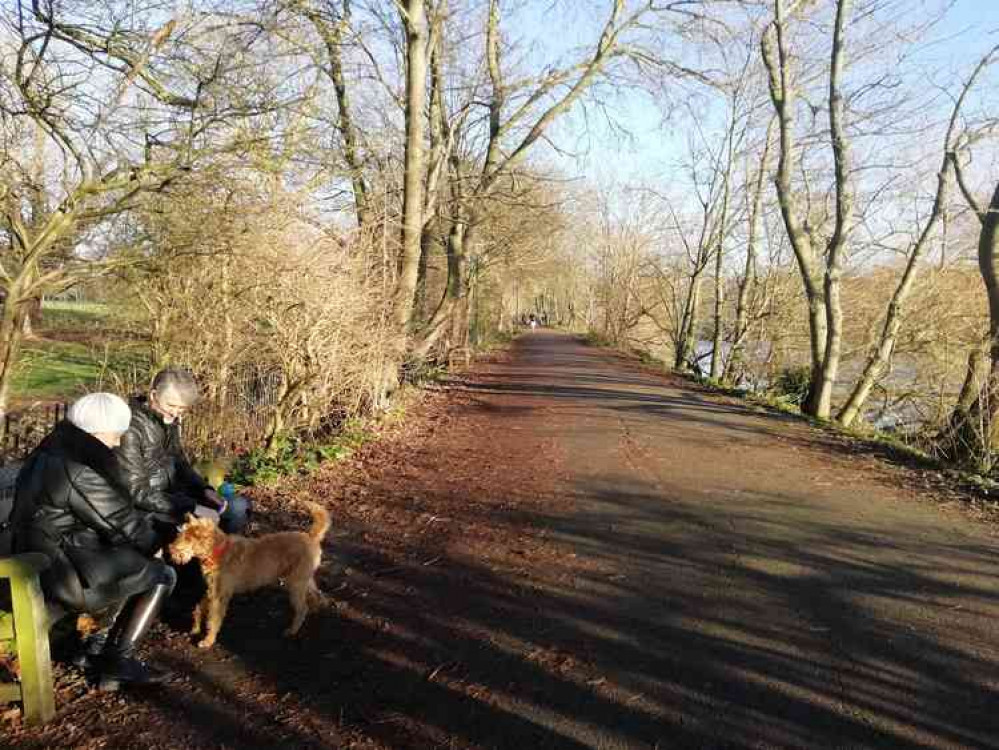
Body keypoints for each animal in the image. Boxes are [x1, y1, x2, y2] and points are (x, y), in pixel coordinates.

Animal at [170, 502, 330, 648]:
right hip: (303, 580)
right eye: (181, 534)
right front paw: (195, 628)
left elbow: (213, 619)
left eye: (188, 539)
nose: (170, 550)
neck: (218, 550)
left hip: (295, 584)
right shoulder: (211, 590)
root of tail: (311, 537)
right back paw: (317, 608)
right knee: (316, 594)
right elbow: (200, 608)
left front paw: (208, 640)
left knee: (302, 608)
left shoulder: (219, 595)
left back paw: (292, 630)